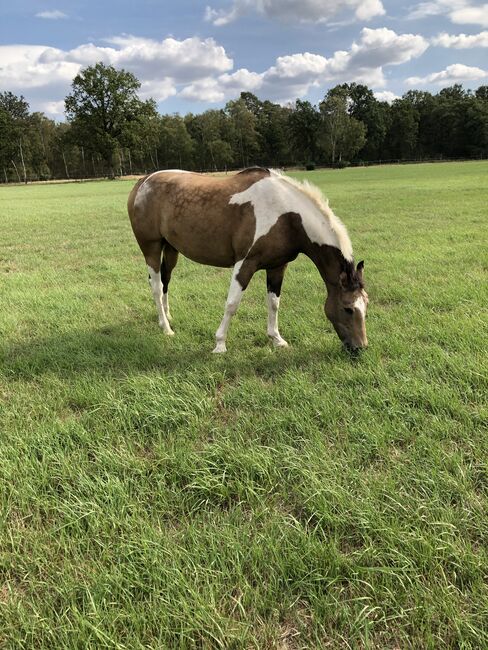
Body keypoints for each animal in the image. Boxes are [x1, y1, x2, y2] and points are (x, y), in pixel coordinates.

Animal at [127, 165, 368, 352]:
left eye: (365, 305)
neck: (287, 217)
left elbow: (274, 303)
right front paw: (220, 344)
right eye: (348, 308)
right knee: (156, 286)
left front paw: (276, 339)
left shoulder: (277, 266)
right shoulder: (245, 264)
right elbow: (232, 304)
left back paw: (167, 318)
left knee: (165, 281)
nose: (360, 348)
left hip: (171, 249)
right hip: (151, 247)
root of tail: (144, 181)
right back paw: (166, 329)